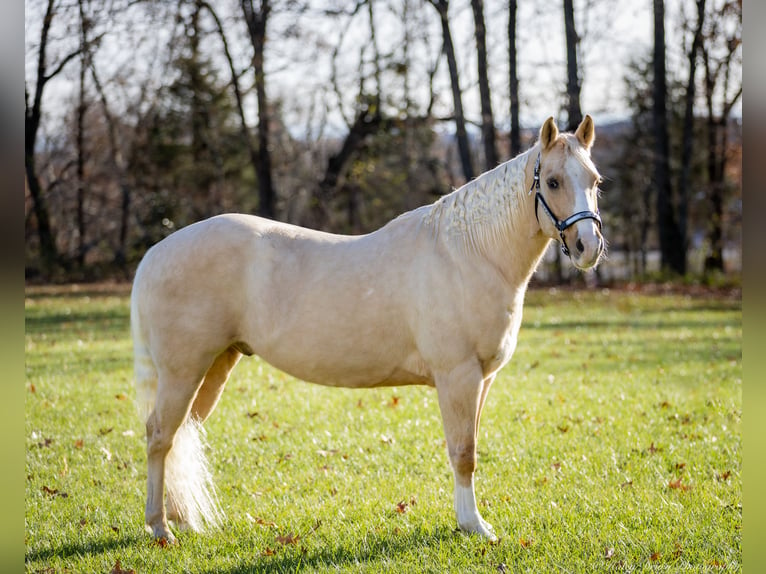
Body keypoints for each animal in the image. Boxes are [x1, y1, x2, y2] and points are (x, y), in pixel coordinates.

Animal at [132, 115, 608, 544]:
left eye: (595, 180)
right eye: (552, 181)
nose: (588, 247)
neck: (467, 254)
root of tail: (156, 253)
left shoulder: (483, 379)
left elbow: (469, 449)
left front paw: (469, 521)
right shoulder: (458, 376)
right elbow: (463, 453)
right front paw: (475, 526)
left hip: (214, 366)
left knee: (181, 434)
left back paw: (183, 522)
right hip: (183, 371)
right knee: (159, 436)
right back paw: (159, 528)